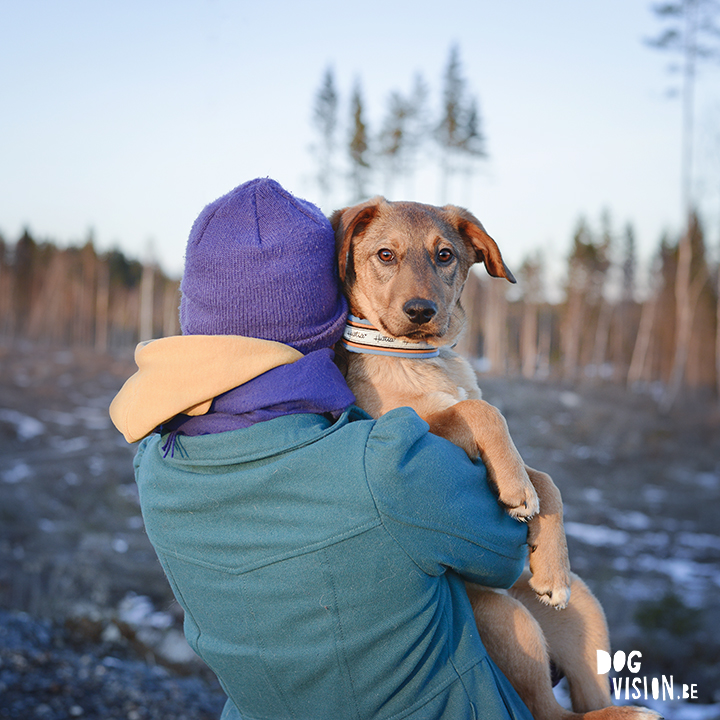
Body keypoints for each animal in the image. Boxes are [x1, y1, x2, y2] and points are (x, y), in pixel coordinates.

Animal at [332, 200, 660, 720]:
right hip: (505, 616)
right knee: (548, 713)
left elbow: (545, 479)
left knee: (581, 697)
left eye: (445, 255)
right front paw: (515, 485)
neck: (424, 359)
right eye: (385, 254)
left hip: (581, 609)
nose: (421, 312)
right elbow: (482, 411)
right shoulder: (403, 428)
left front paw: (547, 556)